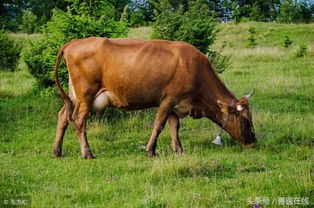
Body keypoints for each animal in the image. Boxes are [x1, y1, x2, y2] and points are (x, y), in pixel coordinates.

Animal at [52, 37, 256, 158]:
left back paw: (57, 151)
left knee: (63, 116)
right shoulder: (168, 99)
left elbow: (174, 126)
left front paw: (179, 149)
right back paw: (87, 153)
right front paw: (150, 150)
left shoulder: (175, 104)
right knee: (79, 120)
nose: (253, 143)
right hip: (85, 94)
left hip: (74, 96)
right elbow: (159, 124)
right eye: (245, 121)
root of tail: (72, 43)